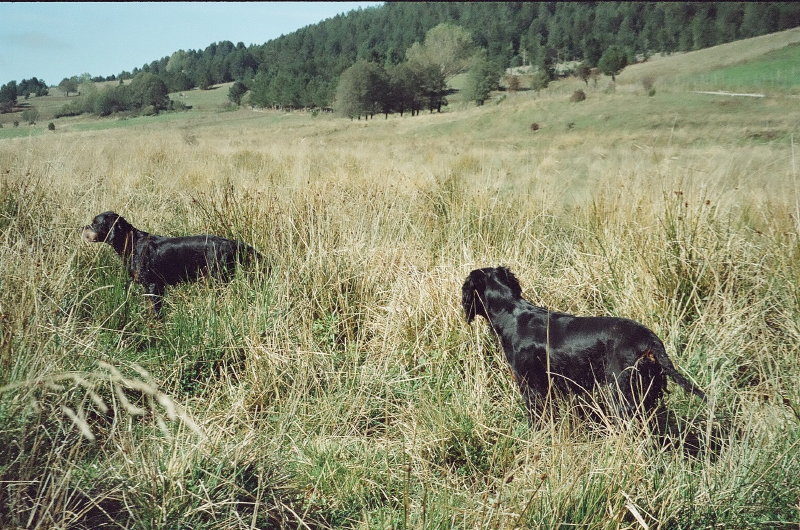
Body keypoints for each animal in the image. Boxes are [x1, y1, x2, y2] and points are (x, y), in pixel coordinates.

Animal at [83, 210, 260, 314]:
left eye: (95, 223)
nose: (82, 227)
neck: (133, 243)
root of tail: (232, 243)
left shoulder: (154, 285)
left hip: (218, 278)